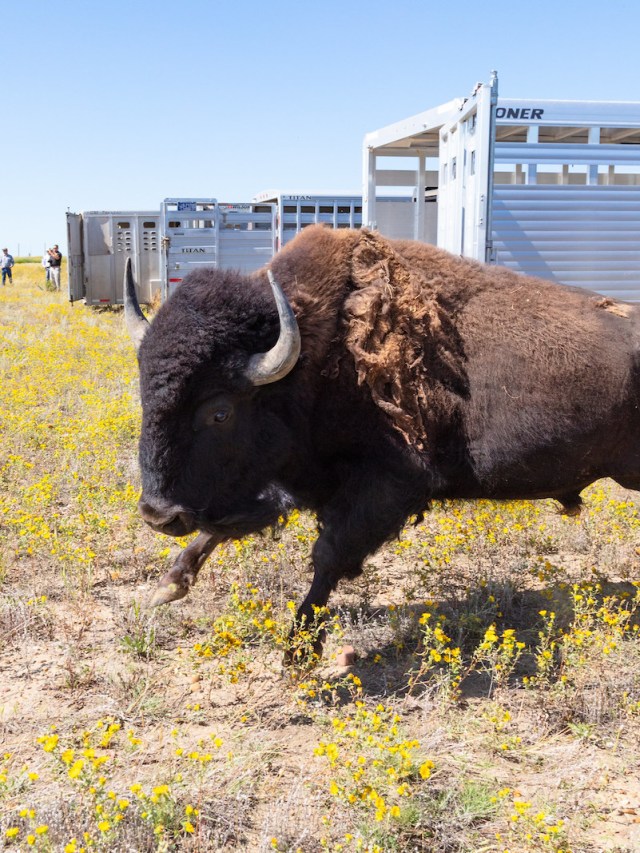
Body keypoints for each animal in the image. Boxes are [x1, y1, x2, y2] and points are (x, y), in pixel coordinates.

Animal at [125, 225, 640, 656]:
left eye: (220, 411)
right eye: (143, 391)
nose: (158, 515)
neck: (314, 358)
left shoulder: (391, 486)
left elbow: (328, 554)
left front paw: (299, 648)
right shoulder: (294, 482)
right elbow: (227, 525)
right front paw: (166, 587)